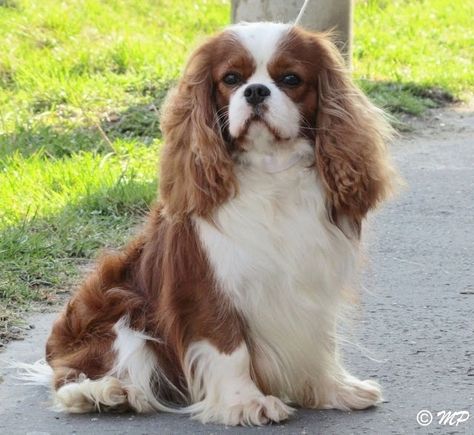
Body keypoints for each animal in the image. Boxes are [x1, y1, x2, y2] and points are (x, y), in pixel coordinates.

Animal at [28, 23, 396, 426]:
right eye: (231, 79)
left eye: (290, 79)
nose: (255, 91)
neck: (270, 170)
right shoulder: (205, 283)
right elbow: (228, 347)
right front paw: (246, 402)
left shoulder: (313, 280)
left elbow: (321, 340)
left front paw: (332, 389)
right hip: (117, 307)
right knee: (73, 376)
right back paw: (107, 393)